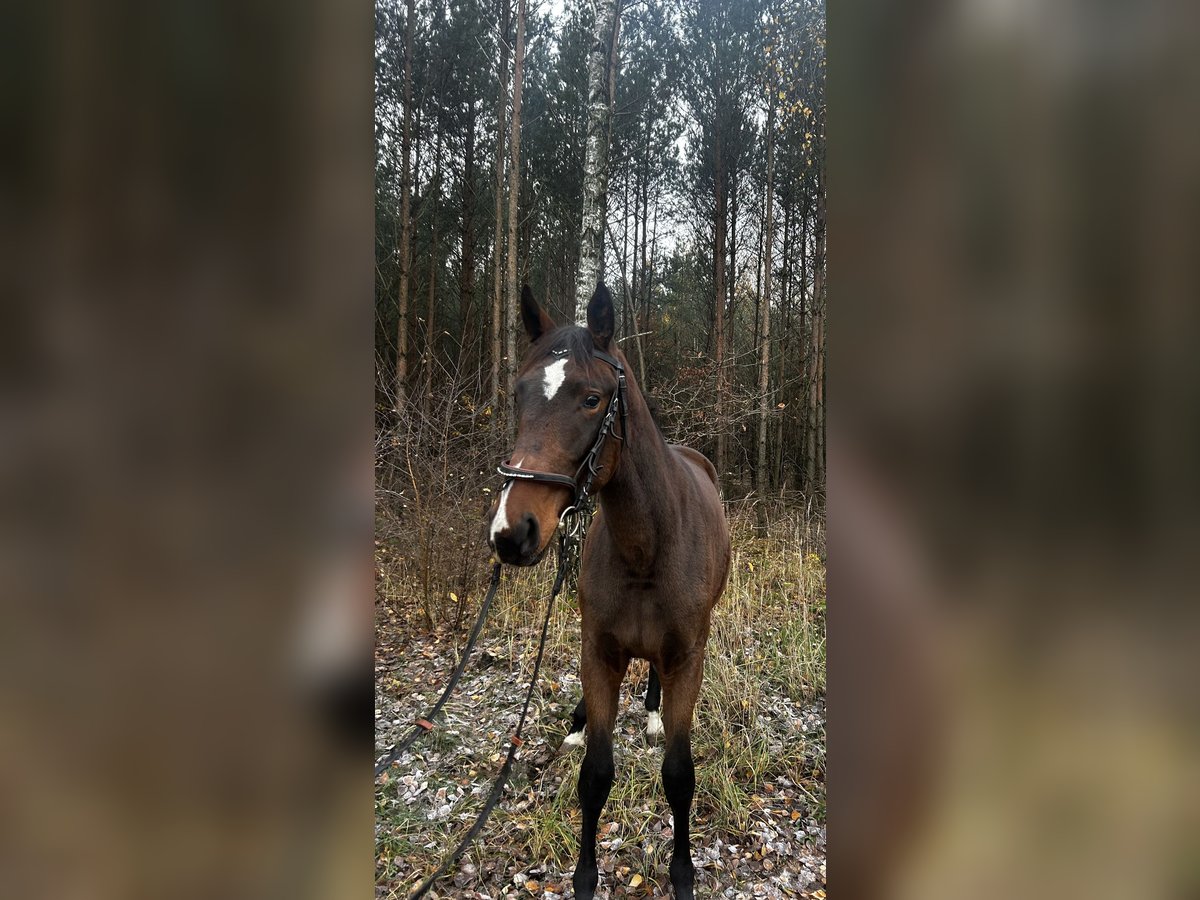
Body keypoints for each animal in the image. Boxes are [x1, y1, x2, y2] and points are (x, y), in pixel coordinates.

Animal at [488, 283, 731, 900]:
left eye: (593, 399)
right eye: (518, 394)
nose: (511, 532)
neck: (647, 546)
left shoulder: (687, 658)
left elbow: (679, 775)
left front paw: (682, 873)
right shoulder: (598, 652)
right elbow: (596, 774)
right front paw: (584, 876)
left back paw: (651, 713)